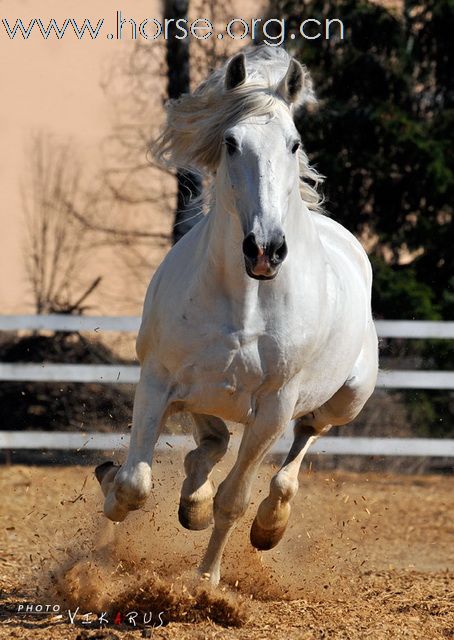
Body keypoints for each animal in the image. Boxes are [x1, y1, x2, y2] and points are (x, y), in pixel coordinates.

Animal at [96, 43, 380, 584]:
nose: (265, 249)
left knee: (303, 440)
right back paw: (192, 502)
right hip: (201, 393)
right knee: (211, 442)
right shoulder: (158, 379)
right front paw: (111, 499)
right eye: (230, 142)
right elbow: (134, 483)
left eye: (294, 144)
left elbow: (234, 500)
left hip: (345, 401)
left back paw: (270, 524)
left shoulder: (272, 411)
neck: (246, 303)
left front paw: (206, 581)